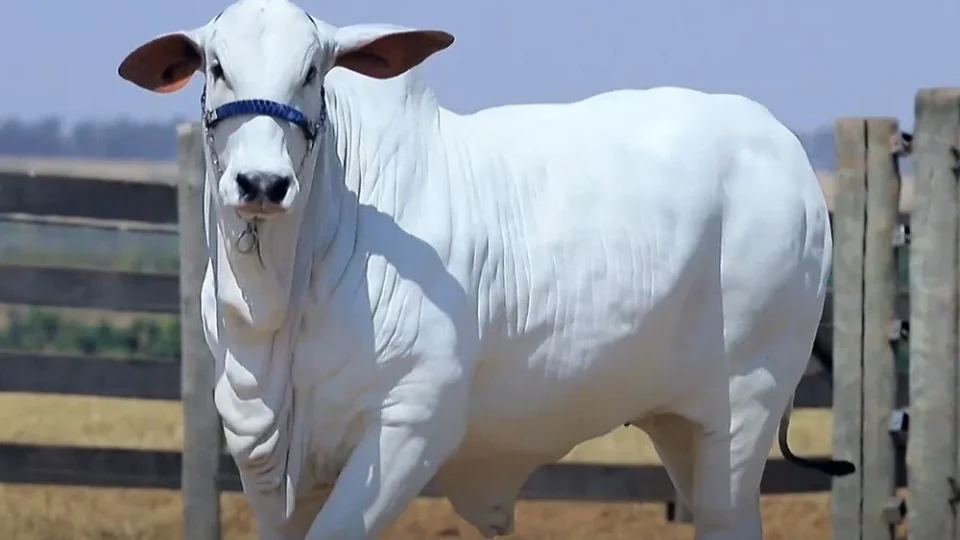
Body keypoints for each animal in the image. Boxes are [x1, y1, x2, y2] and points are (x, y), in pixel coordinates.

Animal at [116, 0, 853, 538]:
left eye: (313, 70)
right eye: (215, 65)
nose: (262, 184)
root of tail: (786, 152)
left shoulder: (411, 424)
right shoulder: (263, 458)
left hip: (745, 409)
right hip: (683, 427)